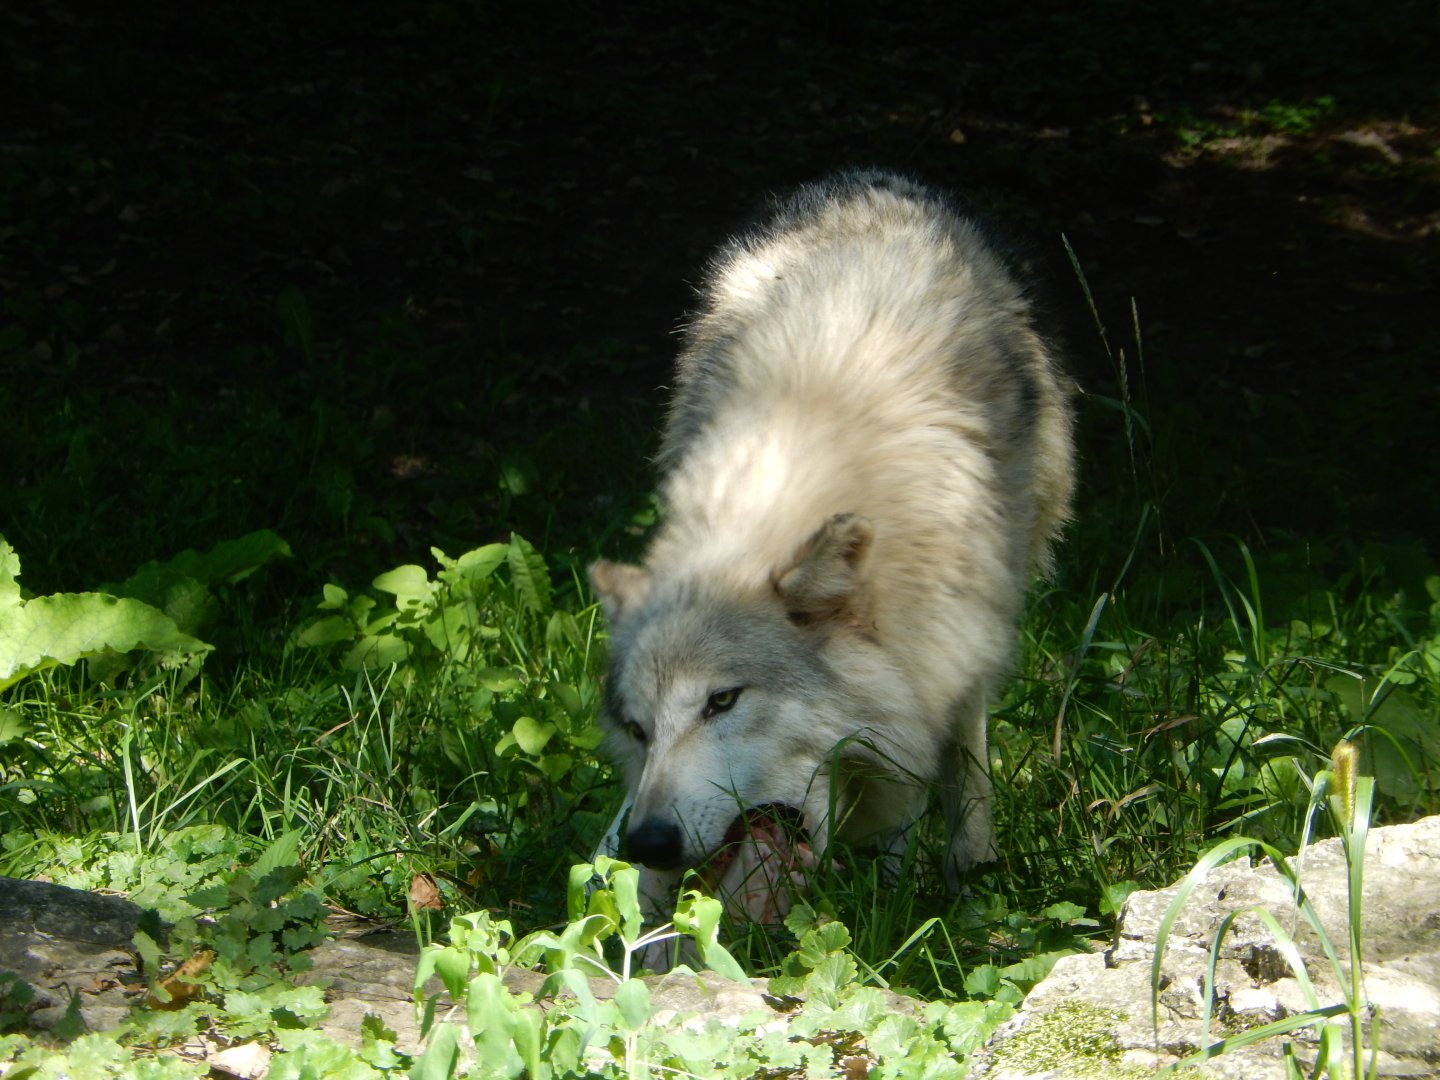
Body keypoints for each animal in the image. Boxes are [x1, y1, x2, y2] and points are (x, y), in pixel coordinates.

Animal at [589, 170, 1075, 922]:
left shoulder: (951, 634)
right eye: (638, 730)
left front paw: (925, 897)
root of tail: (870, 179)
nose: (650, 840)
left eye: (722, 701)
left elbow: (934, 769)